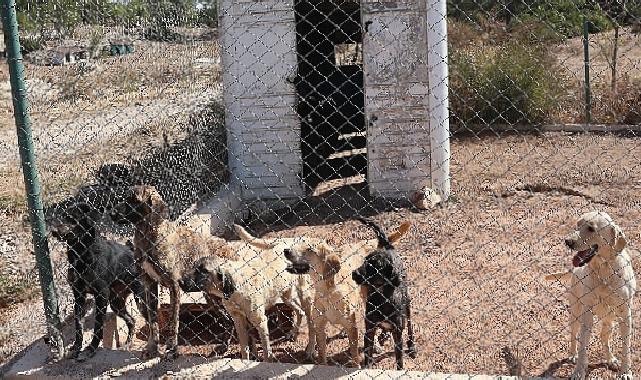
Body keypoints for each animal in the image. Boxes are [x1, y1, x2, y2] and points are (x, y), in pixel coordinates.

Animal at [111, 185, 236, 360]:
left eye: (134, 199)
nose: (111, 213)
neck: (148, 237)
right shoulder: (149, 284)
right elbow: (153, 322)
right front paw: (152, 348)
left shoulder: (174, 286)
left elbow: (173, 321)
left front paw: (172, 349)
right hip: (212, 297)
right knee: (228, 320)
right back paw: (224, 347)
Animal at [235, 221, 410, 366]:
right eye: (298, 245)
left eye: (309, 249)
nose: (286, 251)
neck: (327, 291)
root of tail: (366, 242)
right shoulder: (320, 326)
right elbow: (322, 355)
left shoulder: (352, 328)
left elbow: (355, 356)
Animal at [350, 218, 416, 370]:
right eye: (364, 261)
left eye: (375, 266)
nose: (354, 273)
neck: (381, 298)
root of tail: (388, 247)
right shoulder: (369, 330)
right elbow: (368, 355)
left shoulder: (398, 334)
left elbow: (399, 359)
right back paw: (383, 335)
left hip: (407, 304)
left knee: (409, 325)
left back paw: (412, 346)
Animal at [544, 212, 636, 378]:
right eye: (577, 225)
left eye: (591, 228)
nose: (567, 242)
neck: (604, 270)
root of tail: (574, 270)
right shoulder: (587, 314)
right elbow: (583, 347)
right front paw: (579, 371)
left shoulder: (625, 314)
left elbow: (626, 347)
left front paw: (625, 371)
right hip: (576, 313)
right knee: (574, 335)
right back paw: (572, 355)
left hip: (609, 321)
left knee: (603, 337)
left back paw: (611, 359)